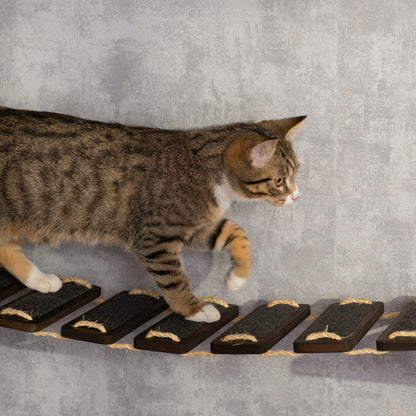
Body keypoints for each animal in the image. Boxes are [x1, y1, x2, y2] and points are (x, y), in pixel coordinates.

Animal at [0, 107, 306, 322]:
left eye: (296, 173)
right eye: (279, 180)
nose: (296, 195)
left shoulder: (196, 226)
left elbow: (235, 232)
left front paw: (238, 276)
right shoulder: (157, 236)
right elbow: (174, 280)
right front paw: (193, 309)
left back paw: (38, 279)